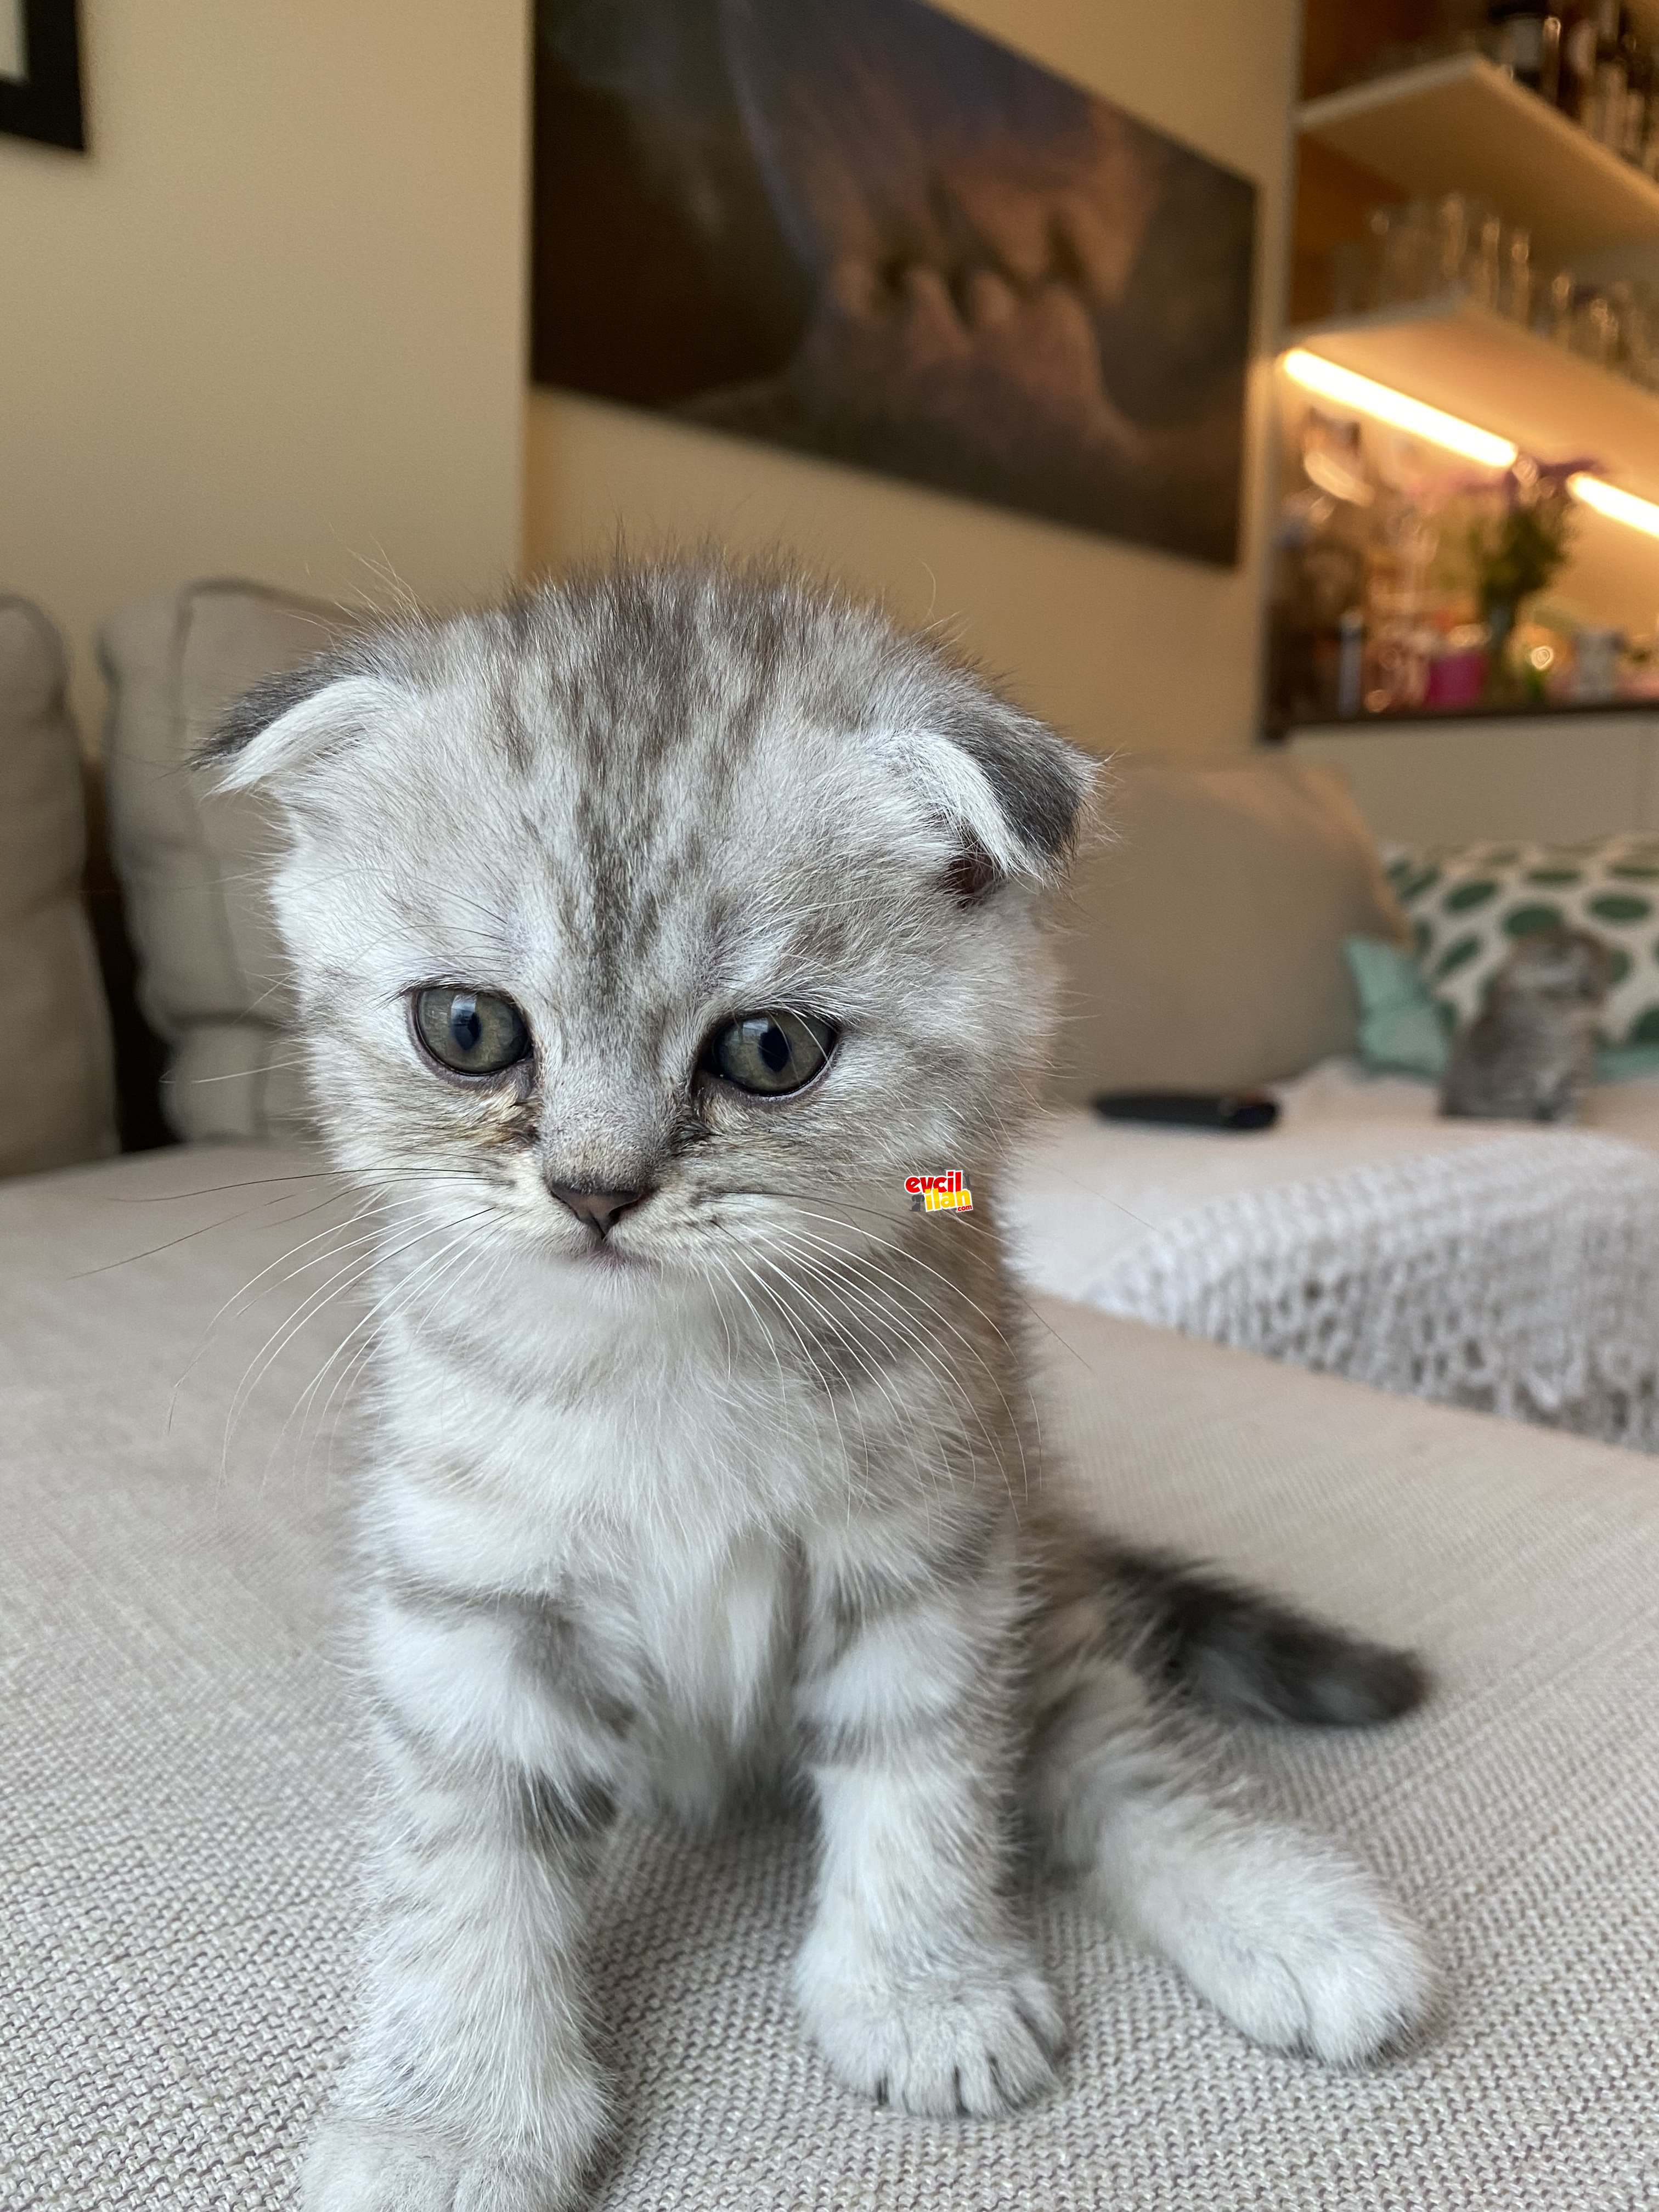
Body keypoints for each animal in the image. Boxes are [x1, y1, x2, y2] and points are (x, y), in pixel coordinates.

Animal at [204, 566, 1433, 2212]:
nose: (597, 1191)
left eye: (770, 1050)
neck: (673, 1364)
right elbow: (463, 1862)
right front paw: (450, 2118)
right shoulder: (471, 1602)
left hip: (1032, 1573)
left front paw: (919, 1994)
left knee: (1117, 1761)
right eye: (468, 1030)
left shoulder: (931, 1560)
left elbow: (923, 1787)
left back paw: (1297, 1920)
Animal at [1451, 924, 1619, 1124]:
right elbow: (1522, 1108)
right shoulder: (1513, 1080)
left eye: (1600, 985)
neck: (1559, 1034)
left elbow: (1567, 1105)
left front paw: (1566, 1122)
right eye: (1579, 988)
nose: (1597, 1002)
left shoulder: (1574, 1075)